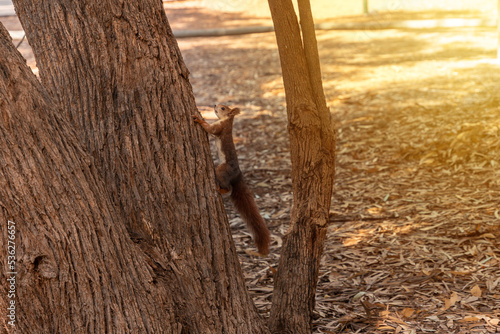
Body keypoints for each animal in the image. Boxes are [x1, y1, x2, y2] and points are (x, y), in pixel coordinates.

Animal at [192, 105, 270, 256]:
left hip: (221, 170)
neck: (228, 120)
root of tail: (237, 174)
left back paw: (220, 189)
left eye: (223, 108)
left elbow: (210, 129)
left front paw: (200, 119)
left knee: (229, 188)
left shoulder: (221, 127)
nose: (214, 105)